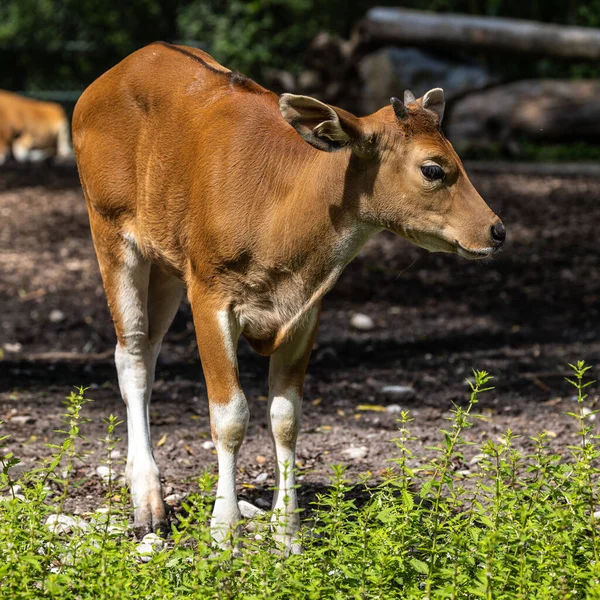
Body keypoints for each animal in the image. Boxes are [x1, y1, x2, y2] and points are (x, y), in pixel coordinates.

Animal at [71, 42, 506, 552]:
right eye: (433, 168)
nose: (496, 231)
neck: (279, 218)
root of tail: (99, 85)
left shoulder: (305, 313)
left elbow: (286, 417)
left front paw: (288, 533)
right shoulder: (211, 297)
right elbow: (230, 416)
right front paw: (224, 533)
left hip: (166, 265)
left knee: (148, 352)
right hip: (111, 232)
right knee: (133, 355)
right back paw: (148, 505)